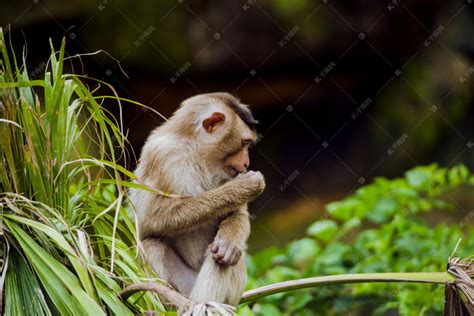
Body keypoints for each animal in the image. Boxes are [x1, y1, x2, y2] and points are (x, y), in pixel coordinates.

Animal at [128, 91, 264, 306]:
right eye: (244, 143)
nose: (246, 163)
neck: (196, 153)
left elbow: (238, 216)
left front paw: (229, 240)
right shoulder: (162, 156)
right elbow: (147, 221)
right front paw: (244, 186)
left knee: (230, 257)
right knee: (152, 245)